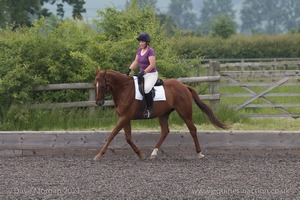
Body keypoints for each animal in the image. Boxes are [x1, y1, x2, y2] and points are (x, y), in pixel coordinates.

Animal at [95, 68, 226, 160]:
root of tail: (184, 86)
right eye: (94, 85)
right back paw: (154, 153)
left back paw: (199, 153)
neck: (124, 89)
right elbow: (128, 138)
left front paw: (99, 154)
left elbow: (112, 135)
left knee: (192, 129)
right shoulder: (125, 118)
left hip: (184, 113)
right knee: (165, 131)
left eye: (102, 85)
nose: (98, 103)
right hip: (163, 114)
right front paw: (140, 154)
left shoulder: (125, 117)